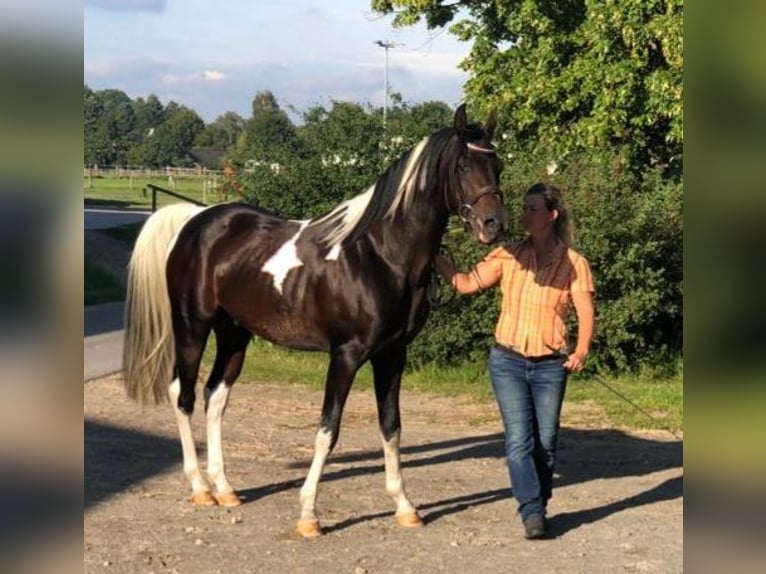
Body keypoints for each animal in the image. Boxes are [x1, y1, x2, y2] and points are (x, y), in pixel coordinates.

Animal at [124, 104, 510, 540]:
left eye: (497, 164)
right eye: (463, 165)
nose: (494, 224)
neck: (378, 255)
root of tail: (196, 220)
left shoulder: (392, 354)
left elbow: (391, 426)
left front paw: (405, 506)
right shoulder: (345, 355)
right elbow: (328, 429)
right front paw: (309, 513)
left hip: (234, 334)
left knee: (215, 396)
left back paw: (224, 488)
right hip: (192, 326)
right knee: (183, 394)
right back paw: (200, 488)